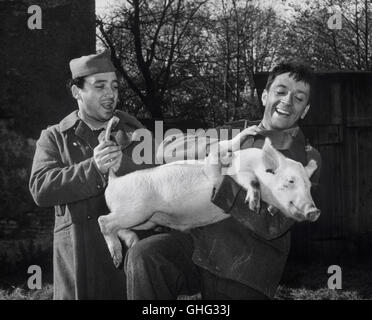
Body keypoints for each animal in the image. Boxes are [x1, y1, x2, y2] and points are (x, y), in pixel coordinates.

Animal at [98, 120, 320, 268]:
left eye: (309, 185)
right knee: (103, 221)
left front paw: (271, 209)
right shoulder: (235, 166)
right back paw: (117, 258)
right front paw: (254, 204)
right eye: (290, 180)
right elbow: (245, 172)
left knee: (118, 227)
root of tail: (114, 180)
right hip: (136, 210)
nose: (314, 211)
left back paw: (132, 243)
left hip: (145, 220)